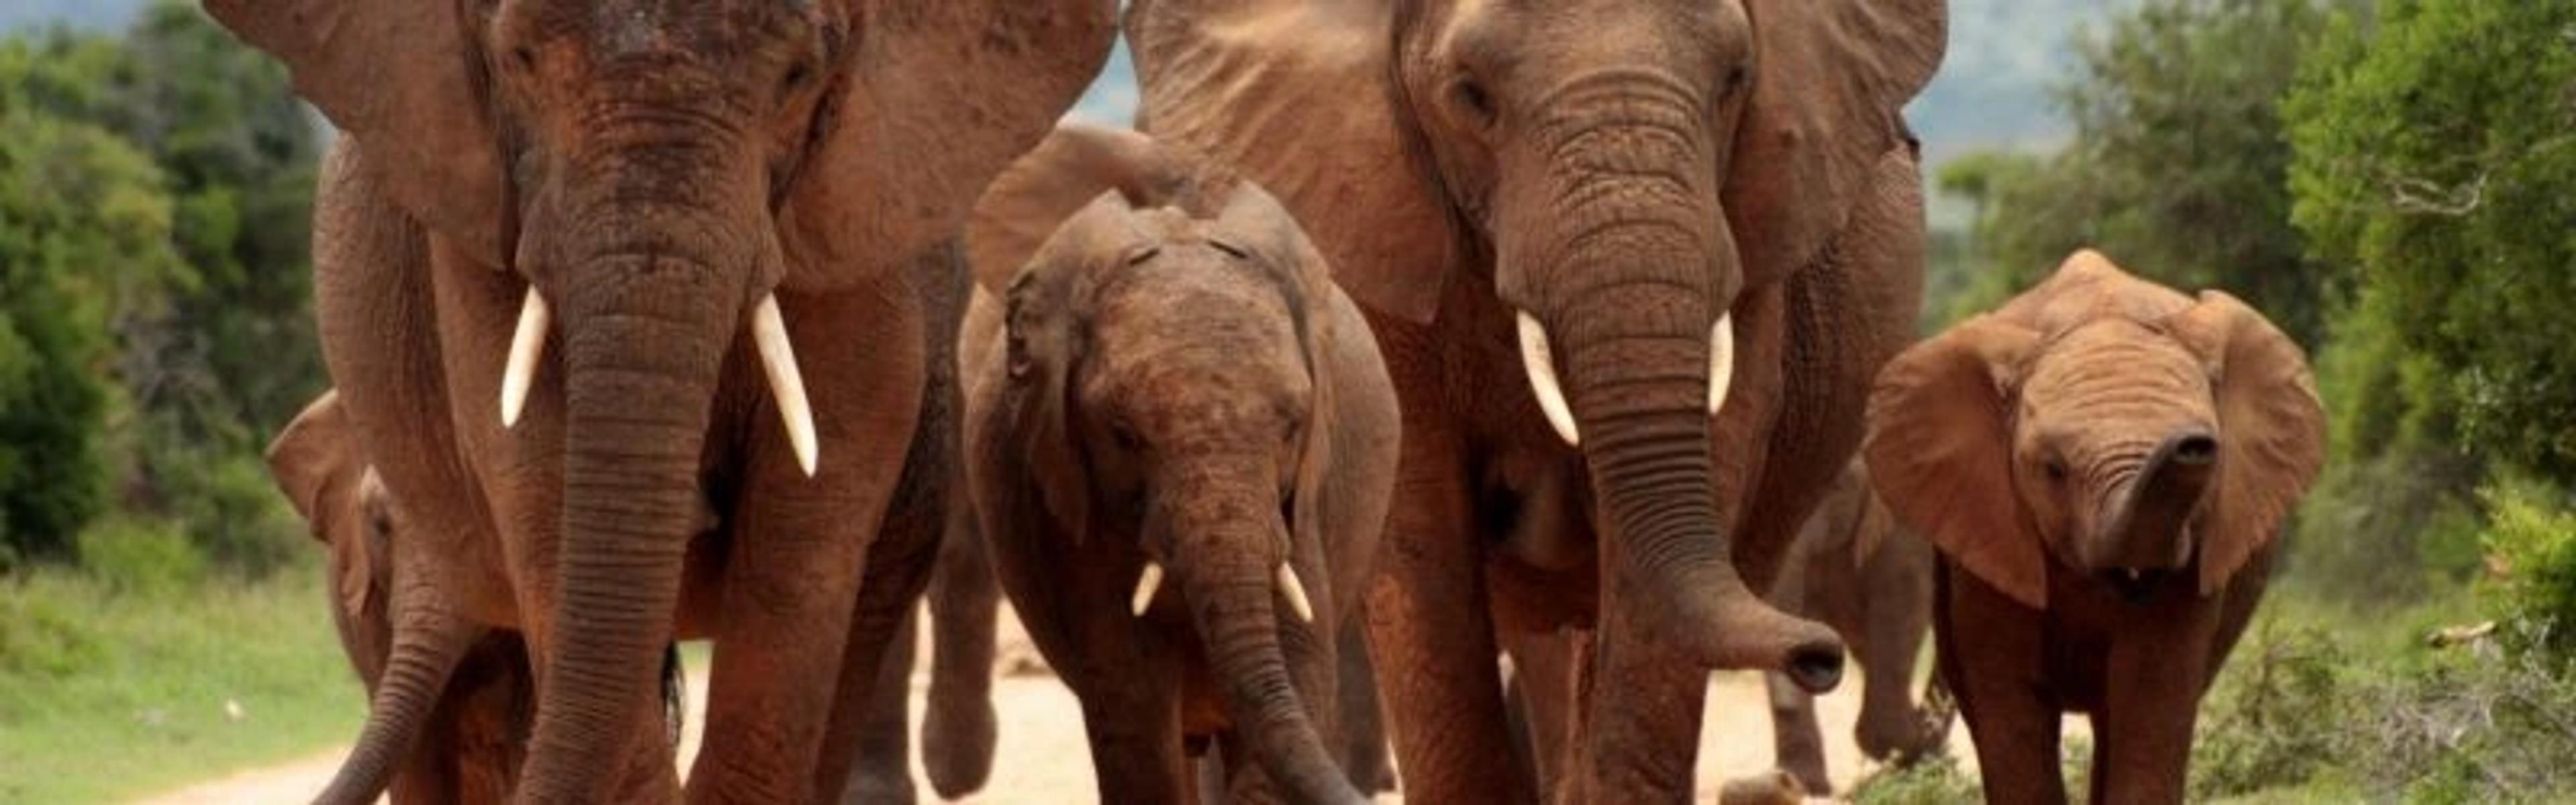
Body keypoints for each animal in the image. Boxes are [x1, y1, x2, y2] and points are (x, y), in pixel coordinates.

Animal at [206, 0, 1115, 800]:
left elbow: (803, 540)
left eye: (798, 75)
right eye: (518, 60)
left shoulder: (853, 227)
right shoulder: (477, 218)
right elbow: (547, 509)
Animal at [959, 124, 1403, 804]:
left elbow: (1298, 677)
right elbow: (1132, 705)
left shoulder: (1302, 504)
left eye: (1293, 426)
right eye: (1122, 435)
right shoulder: (1071, 502)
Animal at [1864, 250, 2326, 805]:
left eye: (2212, 458)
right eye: (2053, 470)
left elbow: (2151, 687)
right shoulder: (1991, 527)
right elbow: (2007, 692)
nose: (2193, 444)